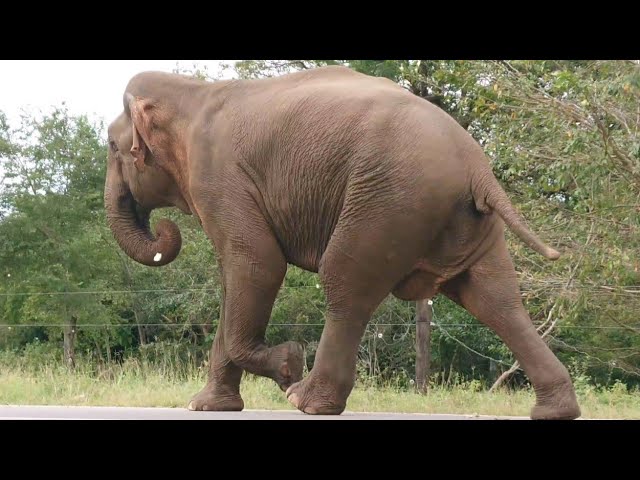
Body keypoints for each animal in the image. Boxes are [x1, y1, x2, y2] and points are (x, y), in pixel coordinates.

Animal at [102, 64, 584, 420]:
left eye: (110, 145)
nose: (165, 231)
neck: (192, 93)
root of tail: (478, 168)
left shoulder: (219, 178)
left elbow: (257, 265)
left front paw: (287, 364)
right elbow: (234, 280)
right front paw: (207, 407)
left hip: (389, 202)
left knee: (344, 280)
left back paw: (305, 399)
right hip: (458, 219)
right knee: (494, 300)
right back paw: (555, 411)